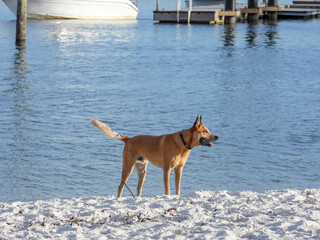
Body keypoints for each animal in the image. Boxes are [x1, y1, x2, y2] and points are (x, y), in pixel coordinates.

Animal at [91, 115, 219, 198]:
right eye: (206, 131)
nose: (217, 137)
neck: (183, 143)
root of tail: (128, 139)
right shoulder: (166, 170)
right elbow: (167, 189)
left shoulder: (179, 170)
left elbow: (177, 188)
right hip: (128, 168)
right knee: (120, 186)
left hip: (142, 171)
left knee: (138, 188)